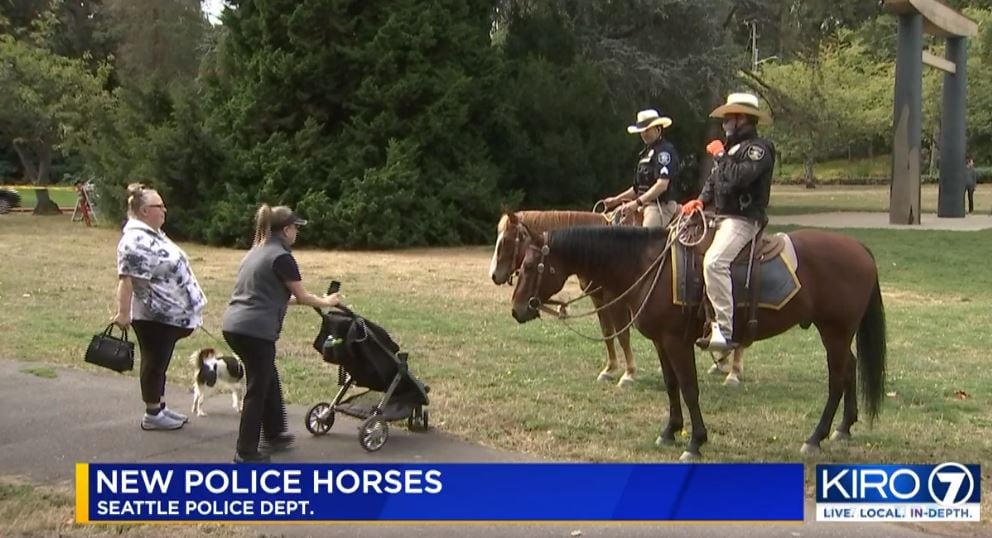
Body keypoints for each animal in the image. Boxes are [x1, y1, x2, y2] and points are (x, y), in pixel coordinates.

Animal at [490, 210, 640, 386]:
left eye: (505, 241)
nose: (493, 275)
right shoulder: (598, 298)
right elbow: (607, 332)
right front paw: (609, 369)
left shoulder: (616, 299)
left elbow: (623, 335)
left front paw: (629, 373)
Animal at [508, 220, 888, 458]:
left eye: (528, 267)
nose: (517, 309)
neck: (648, 266)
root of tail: (859, 248)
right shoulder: (662, 342)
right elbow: (671, 385)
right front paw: (670, 431)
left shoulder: (677, 341)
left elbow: (689, 388)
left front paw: (695, 441)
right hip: (837, 332)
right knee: (850, 369)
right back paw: (843, 428)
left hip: (835, 331)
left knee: (837, 379)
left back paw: (815, 438)